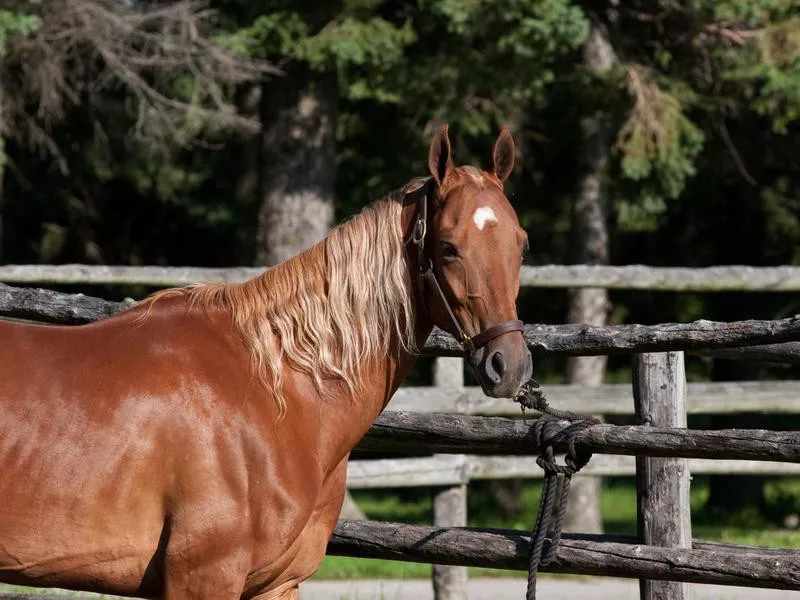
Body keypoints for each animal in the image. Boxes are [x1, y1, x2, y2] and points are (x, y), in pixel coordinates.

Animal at [3, 124, 536, 596]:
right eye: (448, 247)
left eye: (521, 242)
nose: (508, 365)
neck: (275, 389)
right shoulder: (204, 578)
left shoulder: (278, 584)